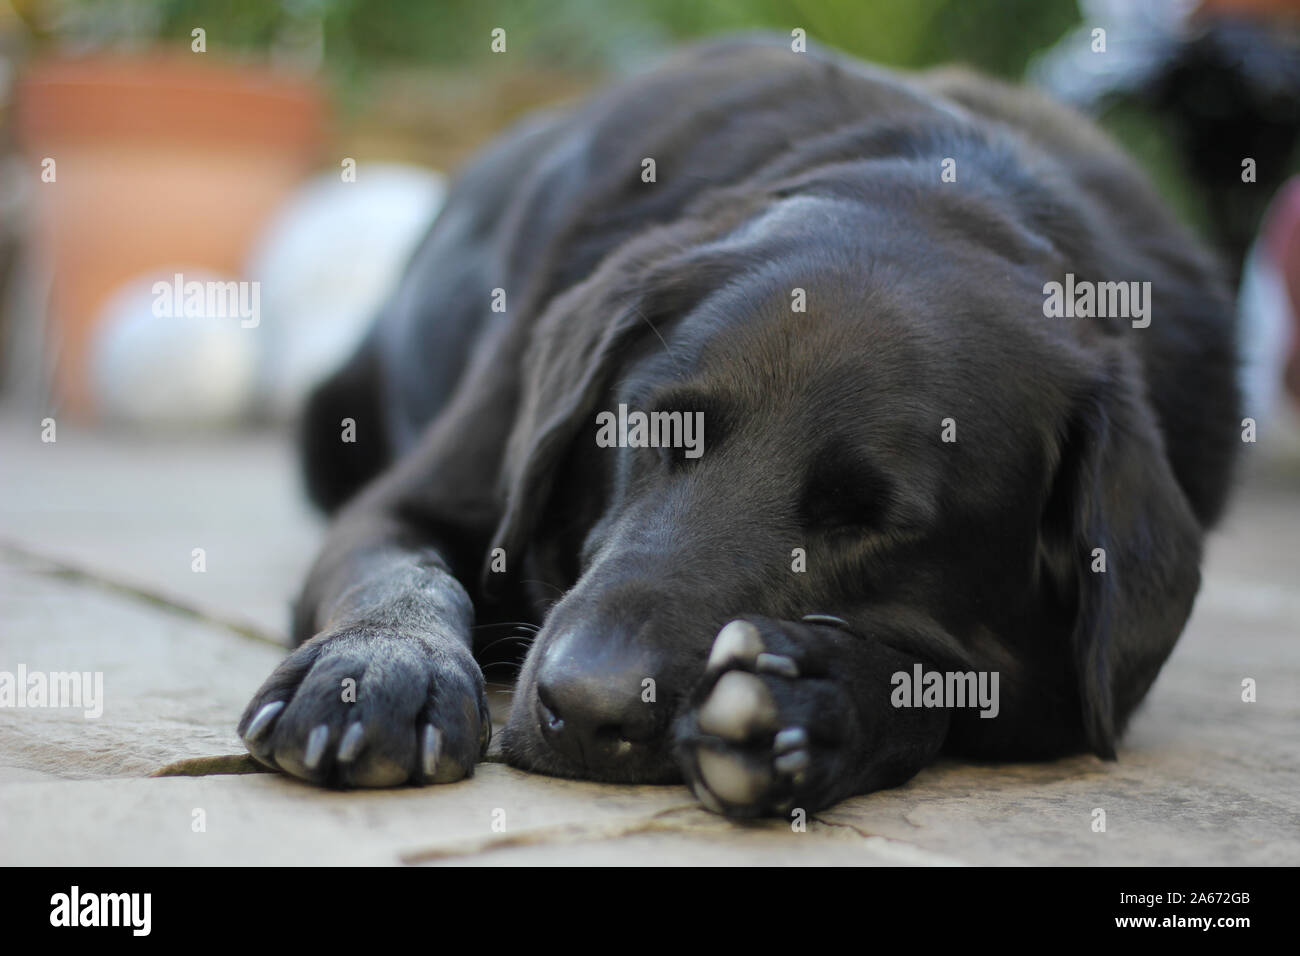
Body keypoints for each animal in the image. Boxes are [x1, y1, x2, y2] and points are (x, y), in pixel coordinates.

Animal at [236, 35, 1237, 816]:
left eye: (870, 522)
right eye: (654, 431)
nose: (587, 707)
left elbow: (941, 683)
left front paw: (816, 703)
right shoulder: (415, 503)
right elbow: (404, 569)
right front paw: (379, 666)